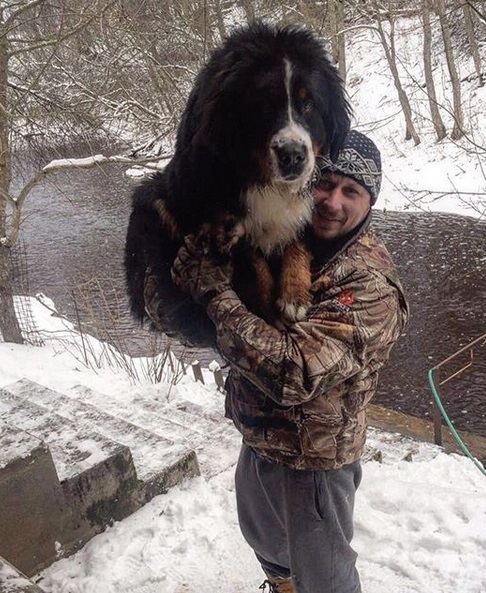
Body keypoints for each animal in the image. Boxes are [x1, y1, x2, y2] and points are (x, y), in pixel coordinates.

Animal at [125, 23, 352, 346]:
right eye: (264, 106)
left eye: (308, 104)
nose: (293, 155)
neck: (261, 180)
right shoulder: (220, 219)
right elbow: (254, 265)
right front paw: (269, 312)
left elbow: (298, 240)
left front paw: (294, 294)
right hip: (154, 198)